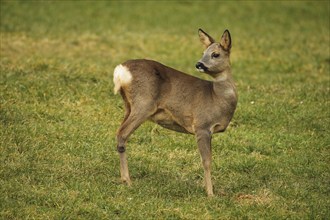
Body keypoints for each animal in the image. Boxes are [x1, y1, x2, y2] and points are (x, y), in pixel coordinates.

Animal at [113, 28, 237, 196]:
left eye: (215, 54)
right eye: (203, 52)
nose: (199, 64)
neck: (216, 97)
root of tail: (121, 70)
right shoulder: (202, 125)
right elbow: (206, 161)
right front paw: (210, 193)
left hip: (128, 105)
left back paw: (123, 179)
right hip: (143, 104)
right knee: (122, 134)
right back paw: (128, 180)